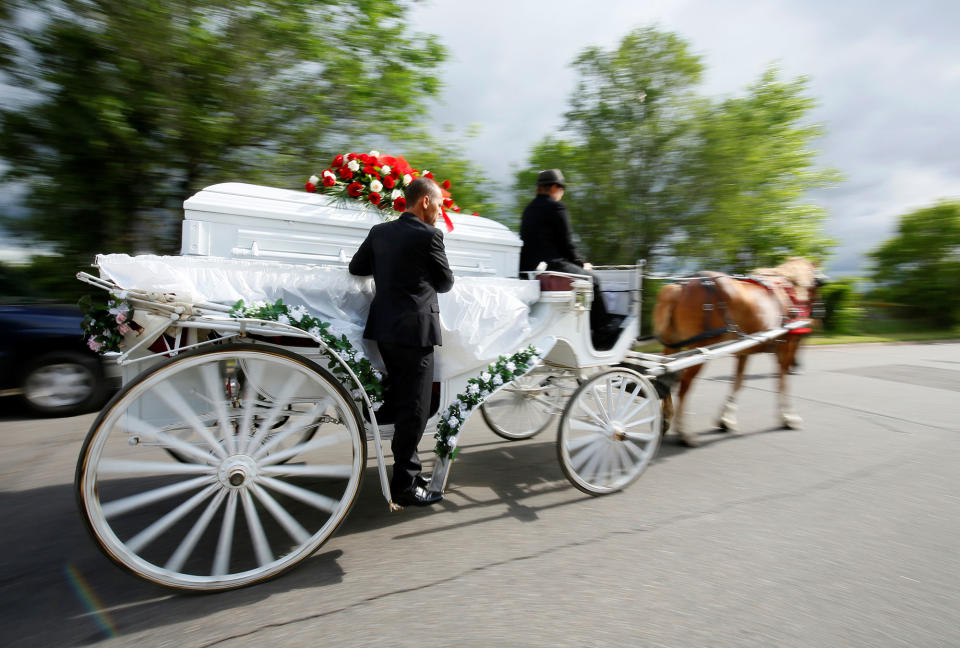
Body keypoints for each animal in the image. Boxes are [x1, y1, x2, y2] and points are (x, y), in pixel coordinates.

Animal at [652, 256, 816, 446]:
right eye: (816, 284)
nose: (808, 319)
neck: (787, 290)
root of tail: (680, 287)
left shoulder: (745, 351)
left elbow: (738, 382)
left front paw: (726, 419)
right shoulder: (786, 345)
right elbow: (782, 382)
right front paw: (788, 416)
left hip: (672, 346)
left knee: (665, 377)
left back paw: (666, 420)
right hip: (699, 349)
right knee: (684, 385)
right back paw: (685, 432)